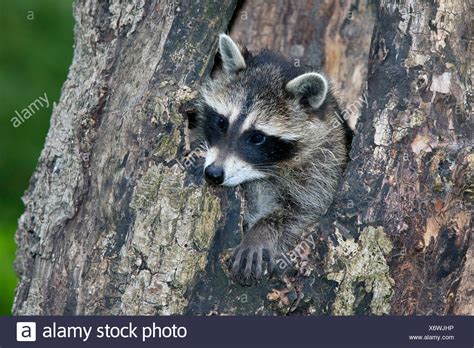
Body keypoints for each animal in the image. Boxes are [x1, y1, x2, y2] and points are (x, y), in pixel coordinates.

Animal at [193, 34, 352, 286]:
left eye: (257, 137)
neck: (262, 173)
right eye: (221, 122)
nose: (214, 174)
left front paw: (262, 231)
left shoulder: (325, 163)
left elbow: (308, 208)